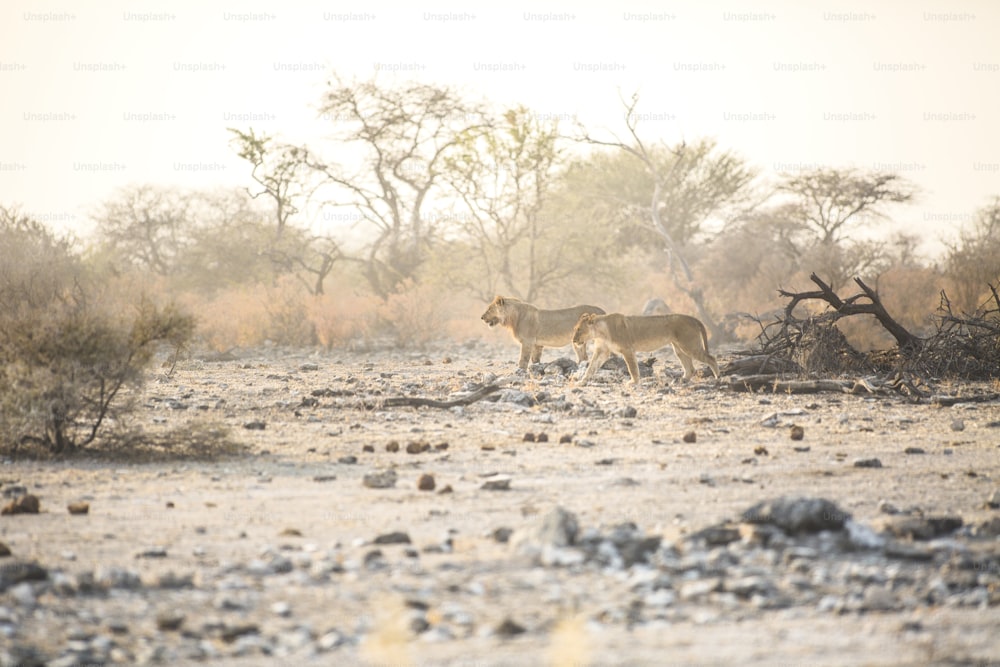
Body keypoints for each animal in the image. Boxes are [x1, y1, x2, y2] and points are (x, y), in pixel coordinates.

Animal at [572, 314, 720, 386]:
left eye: (578, 329)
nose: (573, 340)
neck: (600, 332)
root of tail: (694, 318)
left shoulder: (627, 349)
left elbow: (632, 367)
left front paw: (633, 382)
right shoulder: (602, 351)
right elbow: (591, 367)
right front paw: (582, 381)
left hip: (689, 345)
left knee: (711, 358)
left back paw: (718, 378)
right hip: (679, 348)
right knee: (690, 368)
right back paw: (682, 380)